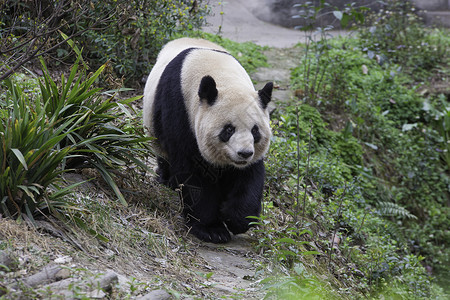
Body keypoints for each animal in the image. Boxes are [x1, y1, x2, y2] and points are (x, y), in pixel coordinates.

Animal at [142, 37, 272, 244]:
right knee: (164, 156)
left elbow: (249, 175)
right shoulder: (180, 110)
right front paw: (211, 229)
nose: (244, 153)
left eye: (255, 131)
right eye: (228, 129)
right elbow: (194, 172)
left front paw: (236, 219)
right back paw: (167, 180)